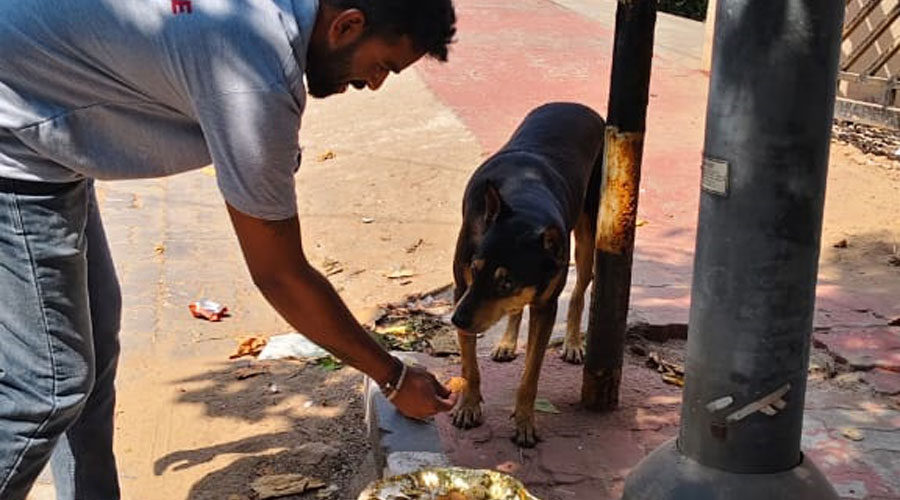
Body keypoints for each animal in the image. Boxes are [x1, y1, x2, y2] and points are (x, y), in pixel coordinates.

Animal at [450, 102, 605, 447]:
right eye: (475, 270)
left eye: (506, 282)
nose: (456, 321)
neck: (524, 201)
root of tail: (575, 105)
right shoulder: (460, 287)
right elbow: (469, 365)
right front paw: (468, 407)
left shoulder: (545, 305)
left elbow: (531, 372)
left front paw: (524, 422)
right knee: (516, 310)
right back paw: (507, 343)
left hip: (587, 237)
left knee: (579, 291)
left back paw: (572, 342)